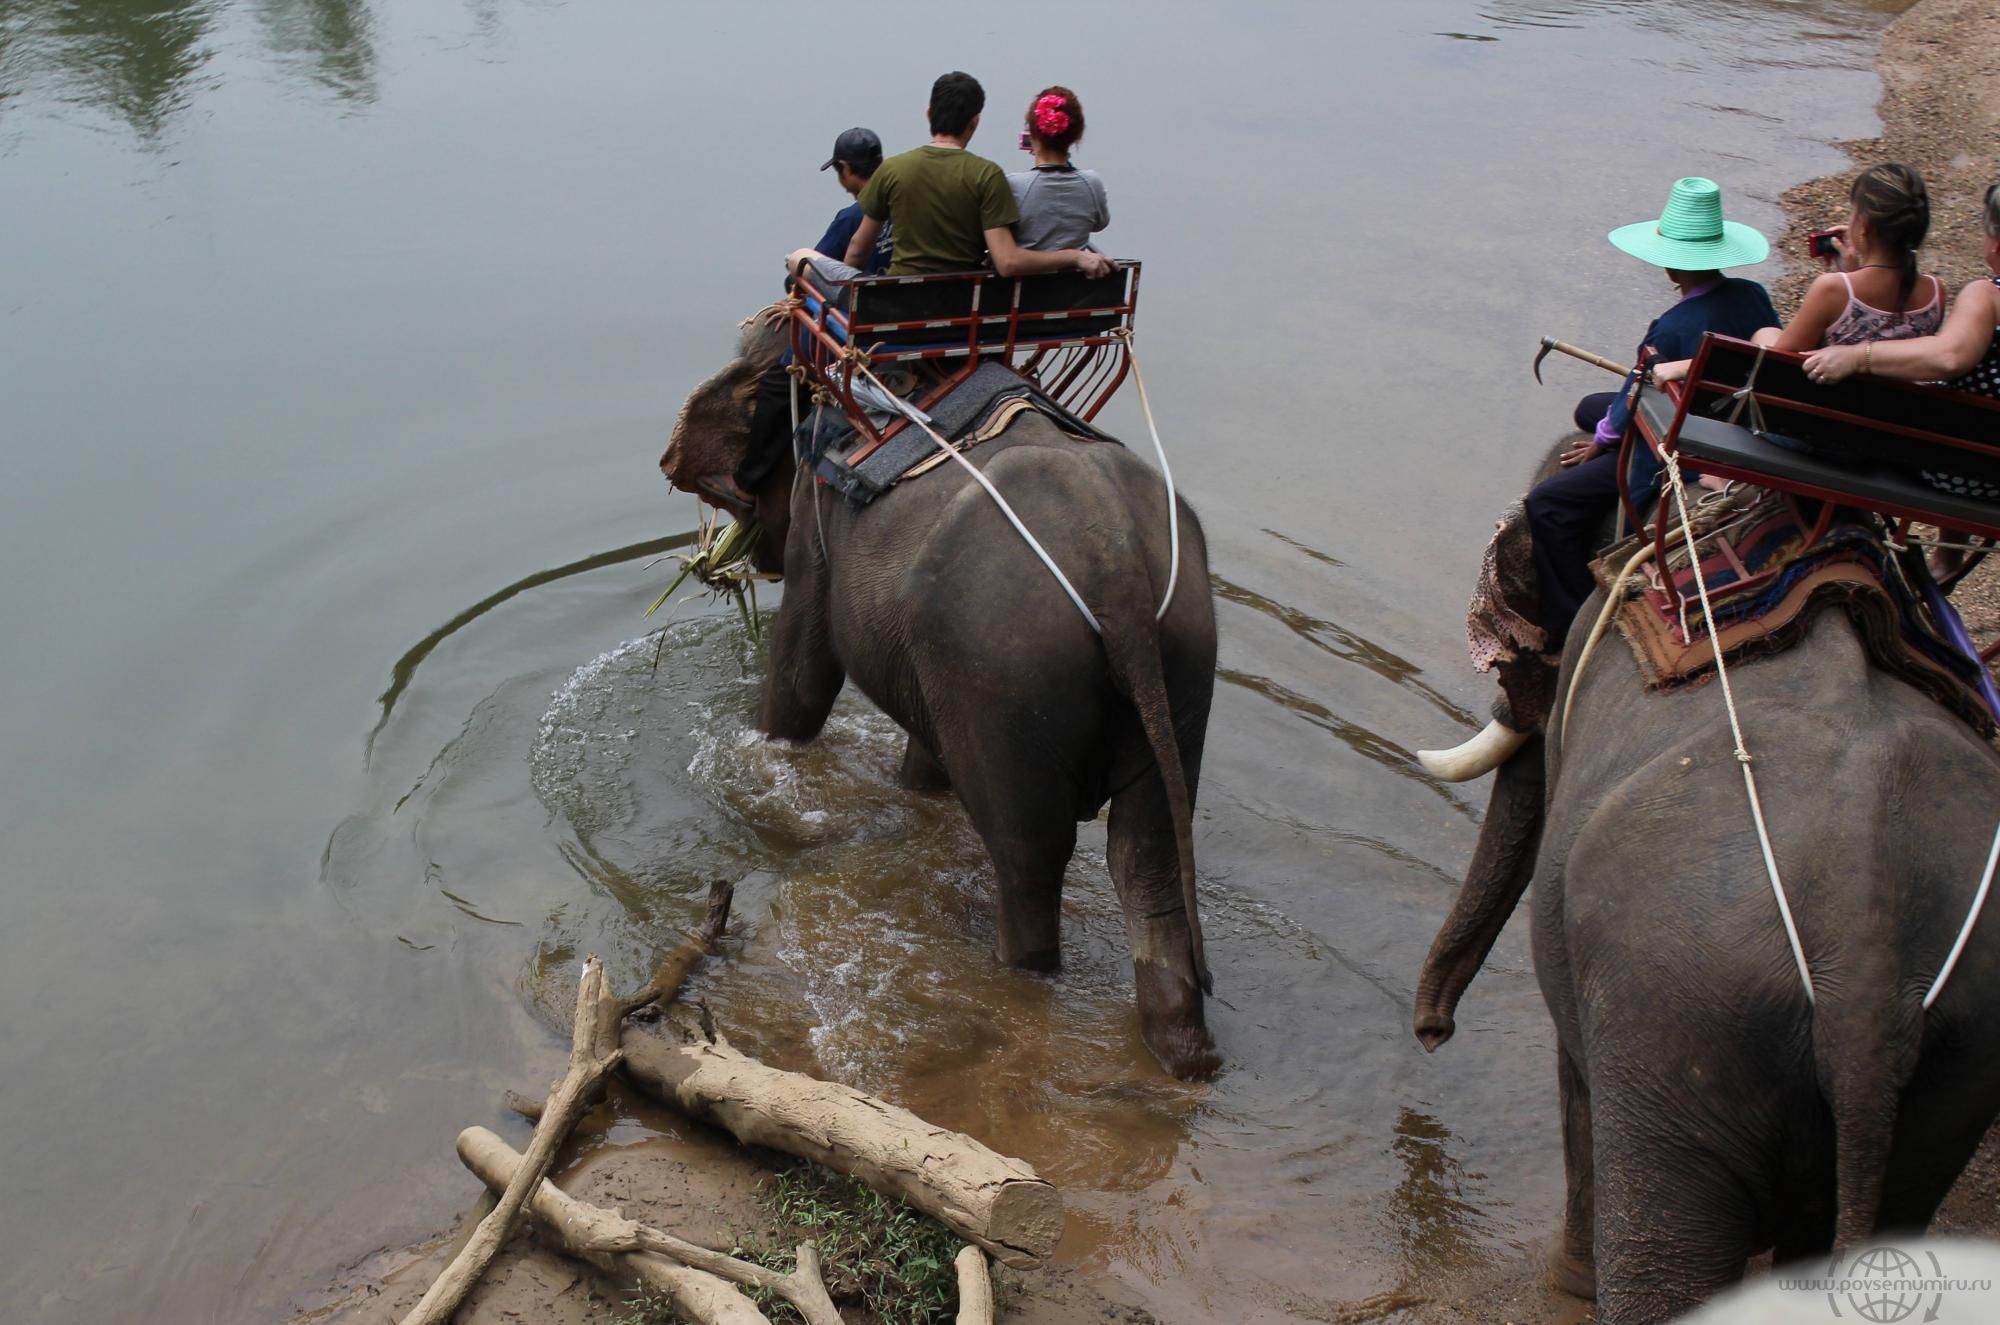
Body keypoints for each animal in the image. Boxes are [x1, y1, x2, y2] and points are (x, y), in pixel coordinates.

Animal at [664, 340, 1216, 1080]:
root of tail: (1116, 561)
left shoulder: (818, 519)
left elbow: (804, 681)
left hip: (1005, 671)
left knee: (1030, 860)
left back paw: (1016, 973)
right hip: (1176, 663)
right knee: (1146, 862)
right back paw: (1183, 1057)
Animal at [1408, 454, 2000, 1320]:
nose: (1432, 1030)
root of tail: (1863, 973)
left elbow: (1575, 1078)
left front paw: (1570, 1282)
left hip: (1676, 1019)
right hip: (1954, 1075)